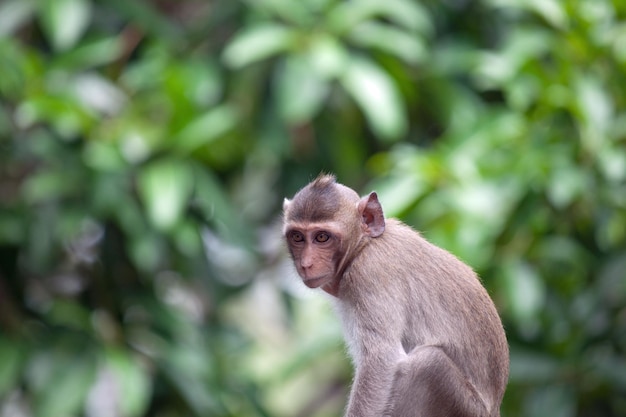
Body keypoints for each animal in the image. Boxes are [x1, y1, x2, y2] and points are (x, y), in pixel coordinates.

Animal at [282, 174, 508, 414]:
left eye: (322, 237)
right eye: (297, 237)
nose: (306, 264)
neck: (364, 246)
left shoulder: (369, 273)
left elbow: (381, 360)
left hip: (462, 405)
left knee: (428, 363)